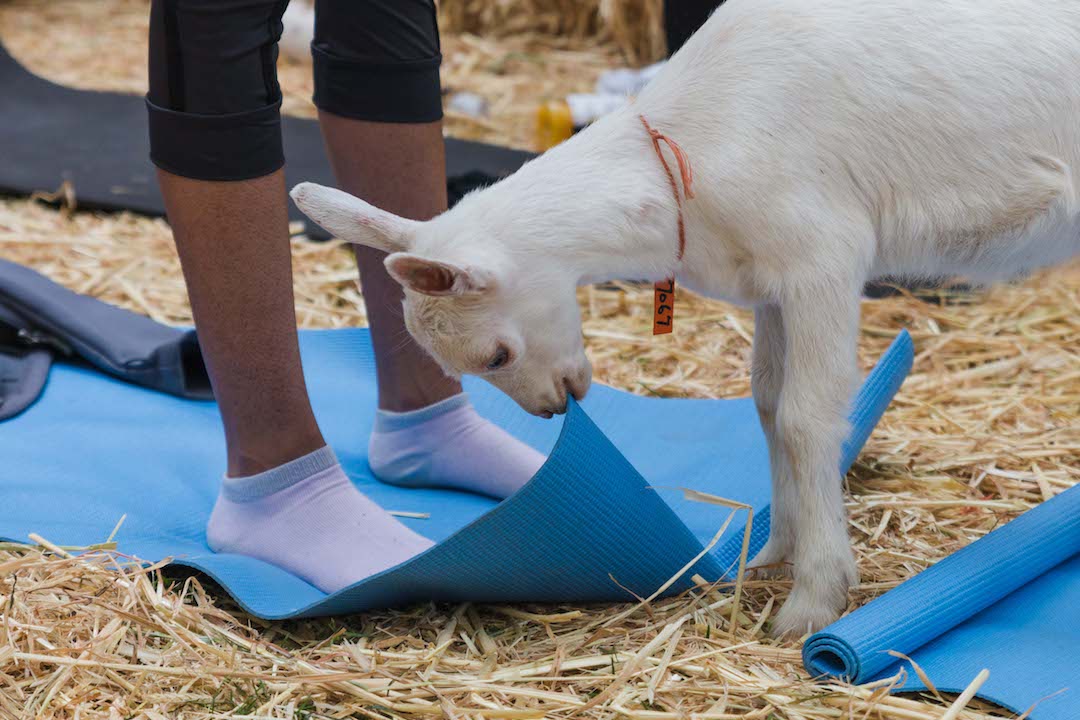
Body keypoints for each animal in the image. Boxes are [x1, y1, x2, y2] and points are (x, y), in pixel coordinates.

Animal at [291, 0, 1080, 634]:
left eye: (495, 356)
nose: (551, 409)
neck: (686, 149)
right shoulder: (771, 281)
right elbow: (768, 405)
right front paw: (774, 553)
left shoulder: (823, 255)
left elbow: (806, 417)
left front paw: (813, 599)